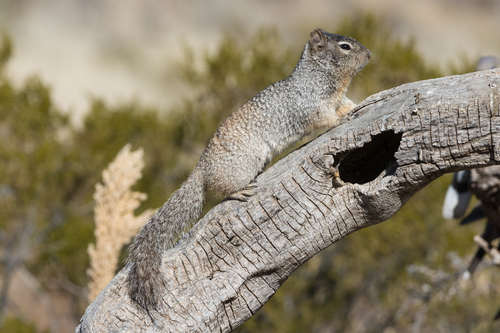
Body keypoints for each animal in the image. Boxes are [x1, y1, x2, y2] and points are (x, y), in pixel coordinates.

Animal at [129, 28, 372, 308]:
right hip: (242, 167)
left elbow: (347, 104)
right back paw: (239, 191)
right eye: (345, 47)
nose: (369, 55)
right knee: (221, 190)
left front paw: (359, 106)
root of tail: (201, 169)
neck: (319, 76)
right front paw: (342, 120)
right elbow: (326, 118)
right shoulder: (312, 105)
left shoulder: (338, 98)